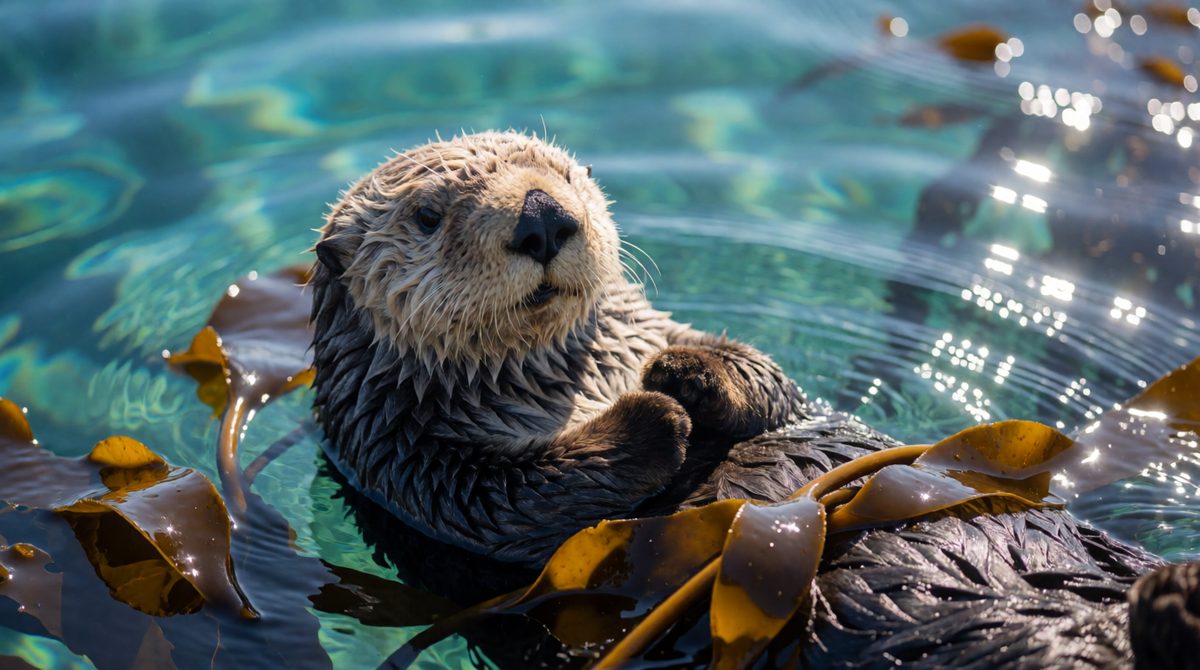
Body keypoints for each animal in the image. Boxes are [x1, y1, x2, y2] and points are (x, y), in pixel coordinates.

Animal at [310, 131, 1190, 667]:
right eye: (429, 215)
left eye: (562, 175)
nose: (543, 215)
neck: (567, 382)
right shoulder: (415, 469)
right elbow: (520, 494)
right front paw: (657, 413)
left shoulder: (669, 333)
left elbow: (771, 386)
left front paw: (684, 373)